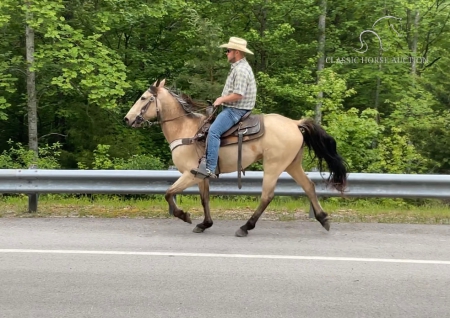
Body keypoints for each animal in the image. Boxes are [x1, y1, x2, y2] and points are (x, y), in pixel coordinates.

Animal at [124, 79, 348, 237]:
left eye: (143, 98)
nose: (127, 119)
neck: (185, 130)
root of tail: (295, 123)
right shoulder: (201, 176)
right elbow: (204, 199)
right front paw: (205, 224)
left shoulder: (190, 174)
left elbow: (168, 193)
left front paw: (185, 216)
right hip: (292, 165)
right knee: (309, 186)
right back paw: (323, 219)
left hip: (273, 166)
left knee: (267, 196)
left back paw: (246, 227)